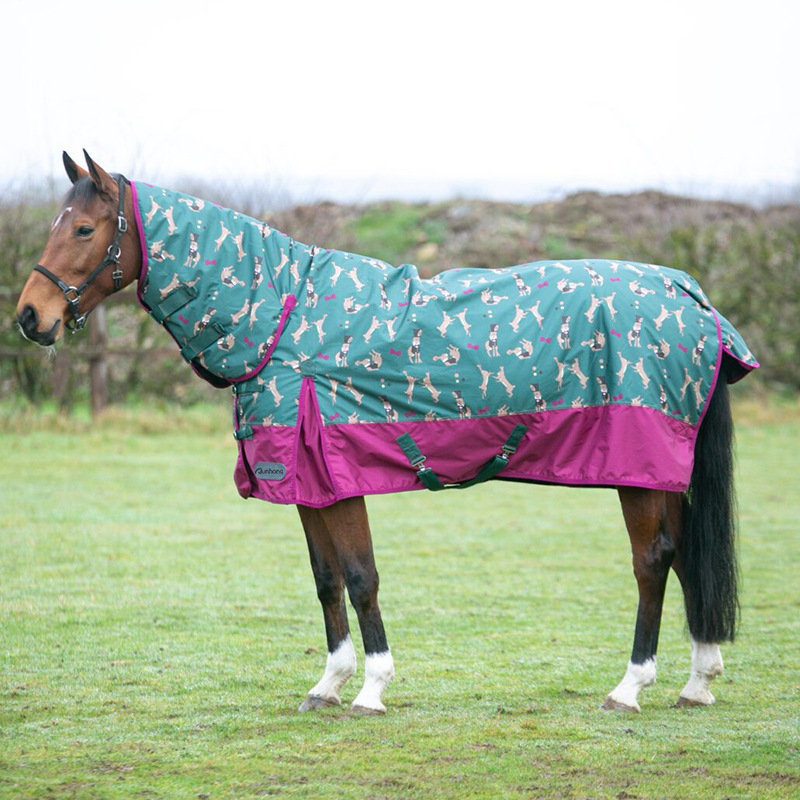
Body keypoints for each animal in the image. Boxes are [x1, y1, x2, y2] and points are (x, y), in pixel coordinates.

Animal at [16, 151, 758, 715]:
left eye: (83, 229)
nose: (30, 316)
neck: (282, 317)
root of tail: (690, 298)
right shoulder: (309, 485)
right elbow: (325, 581)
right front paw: (327, 684)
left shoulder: (340, 478)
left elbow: (360, 576)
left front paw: (371, 689)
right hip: (663, 470)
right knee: (688, 554)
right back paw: (697, 682)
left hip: (639, 467)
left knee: (653, 561)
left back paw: (630, 687)